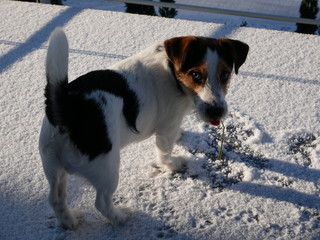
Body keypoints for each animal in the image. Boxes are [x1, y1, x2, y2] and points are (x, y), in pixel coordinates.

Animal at [39, 27, 250, 230]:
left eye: (225, 74)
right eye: (195, 74)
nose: (216, 111)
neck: (172, 72)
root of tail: (66, 108)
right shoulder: (167, 128)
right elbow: (164, 153)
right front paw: (171, 165)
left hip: (53, 166)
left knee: (55, 199)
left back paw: (70, 222)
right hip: (107, 169)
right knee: (101, 202)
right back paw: (121, 217)